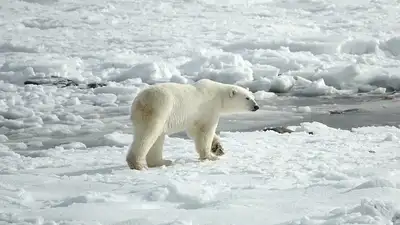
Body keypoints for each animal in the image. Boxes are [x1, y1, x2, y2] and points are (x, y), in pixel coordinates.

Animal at [126, 79, 260, 171]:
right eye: (247, 98)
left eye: (252, 96)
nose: (256, 106)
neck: (218, 95)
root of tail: (139, 100)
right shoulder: (208, 108)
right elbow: (205, 131)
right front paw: (210, 156)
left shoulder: (195, 116)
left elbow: (194, 130)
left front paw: (218, 148)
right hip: (159, 108)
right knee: (148, 134)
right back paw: (139, 164)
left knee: (157, 137)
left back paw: (163, 161)